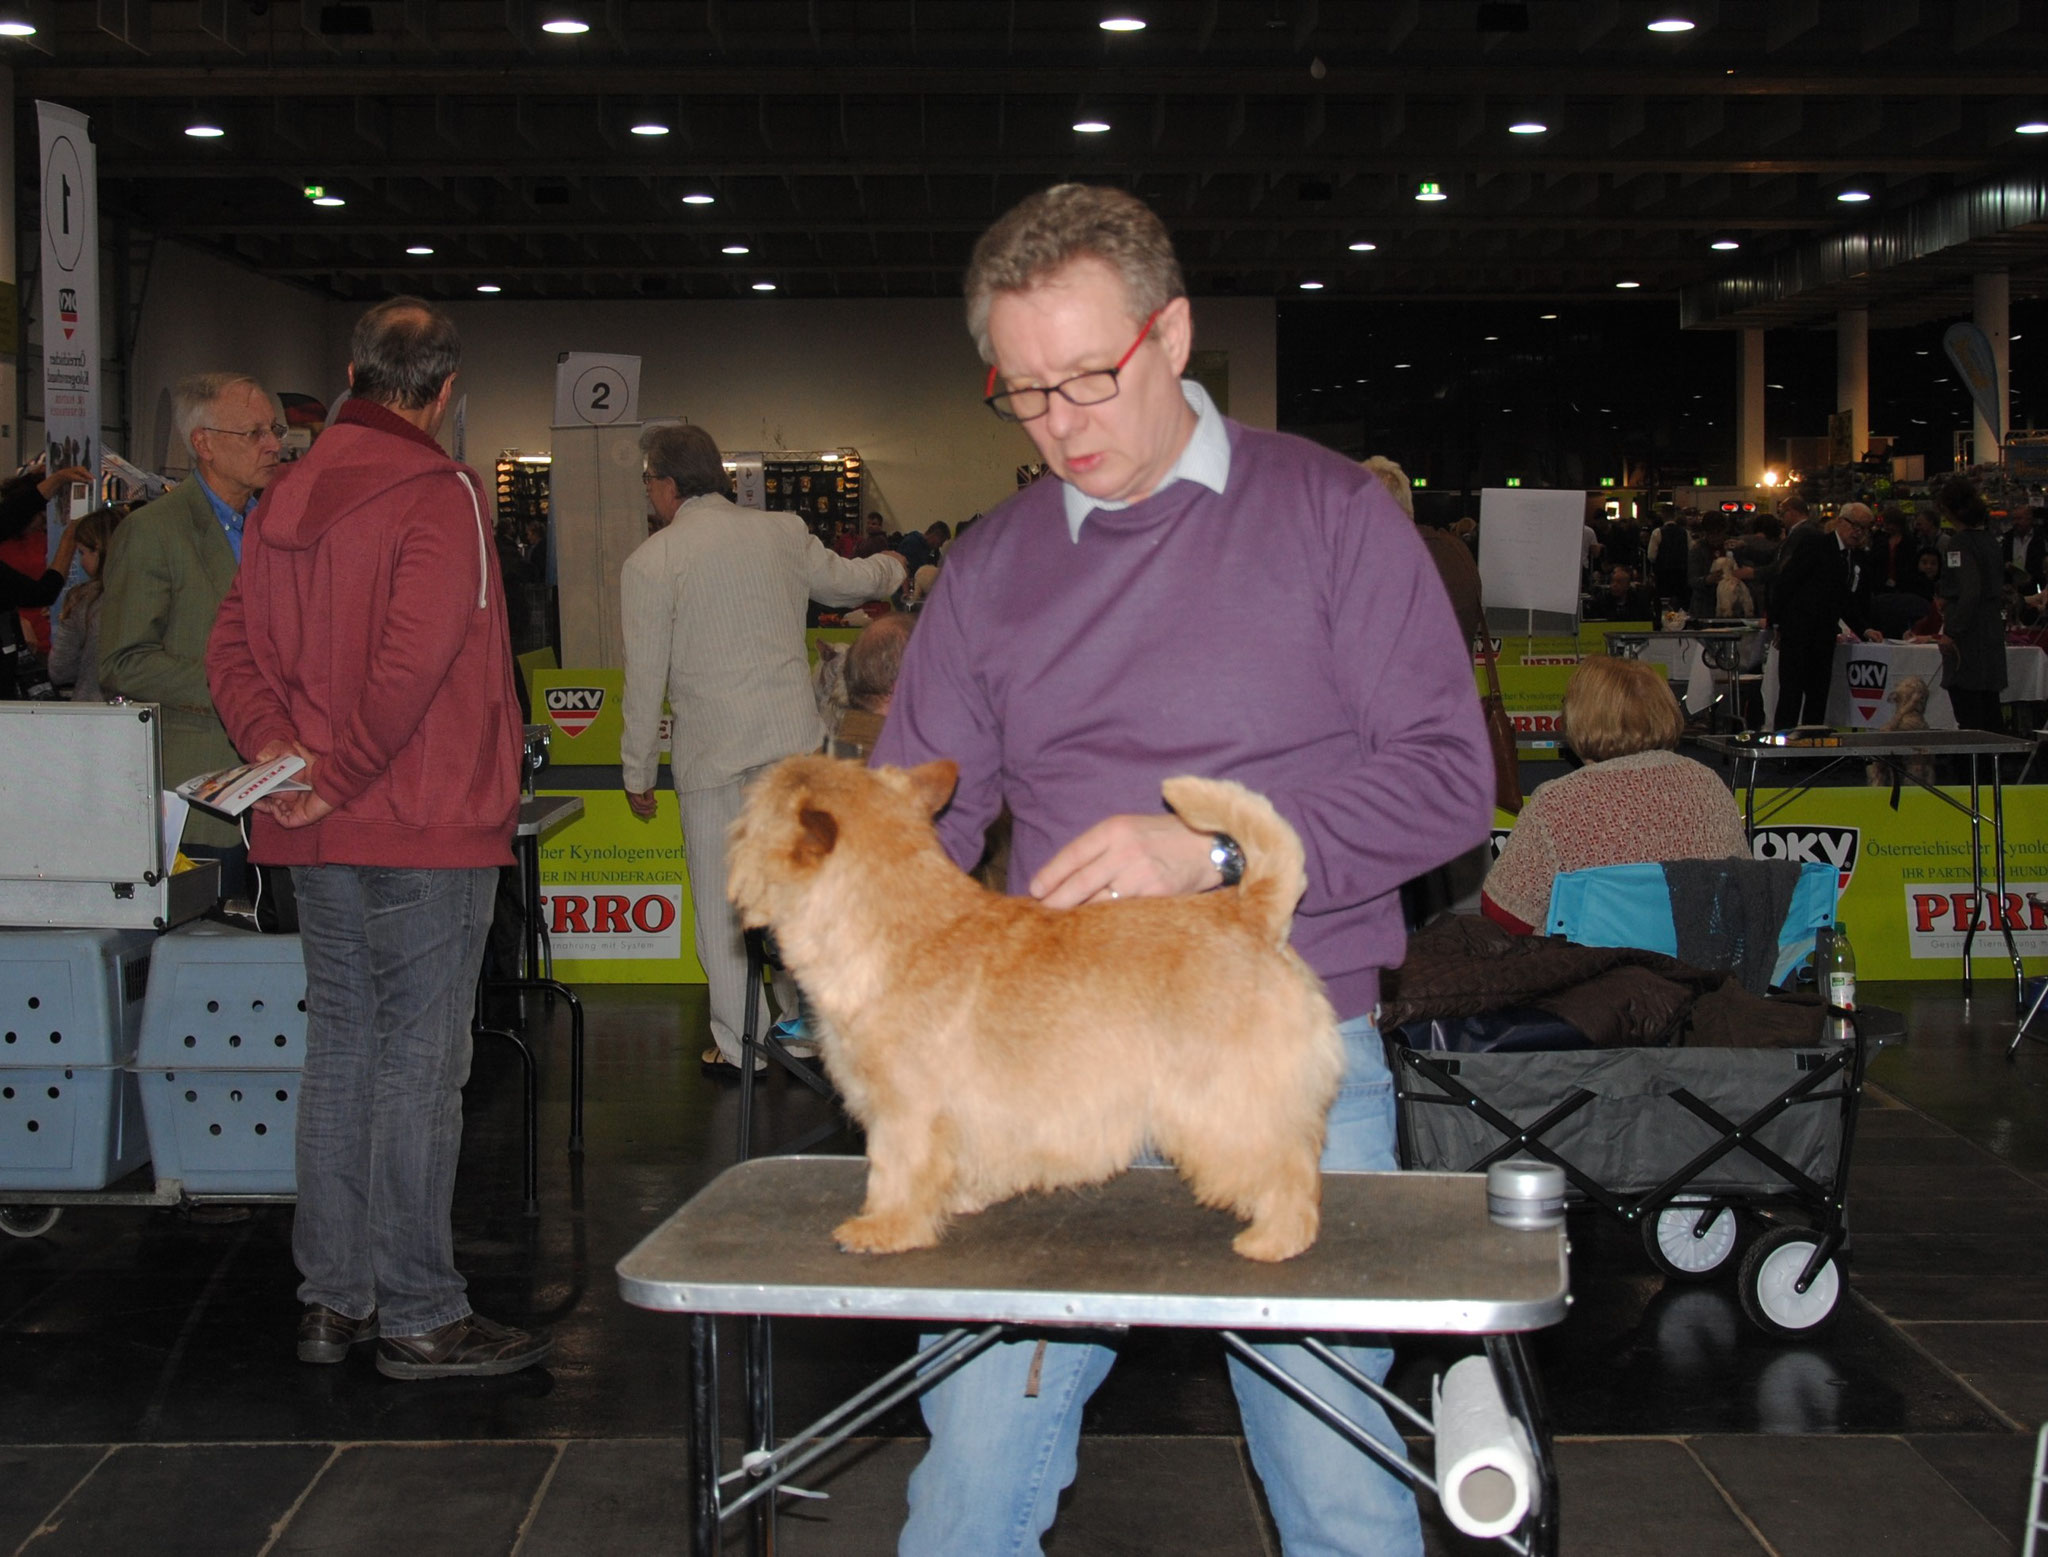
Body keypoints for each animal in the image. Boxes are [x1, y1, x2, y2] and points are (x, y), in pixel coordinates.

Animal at [729, 758, 1351, 1261]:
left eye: (751, 814)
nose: (730, 831)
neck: (898, 932)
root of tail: (1252, 913)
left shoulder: (906, 1111)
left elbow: (895, 1171)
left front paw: (883, 1228)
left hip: (1228, 1101)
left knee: (1288, 1167)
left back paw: (1275, 1239)